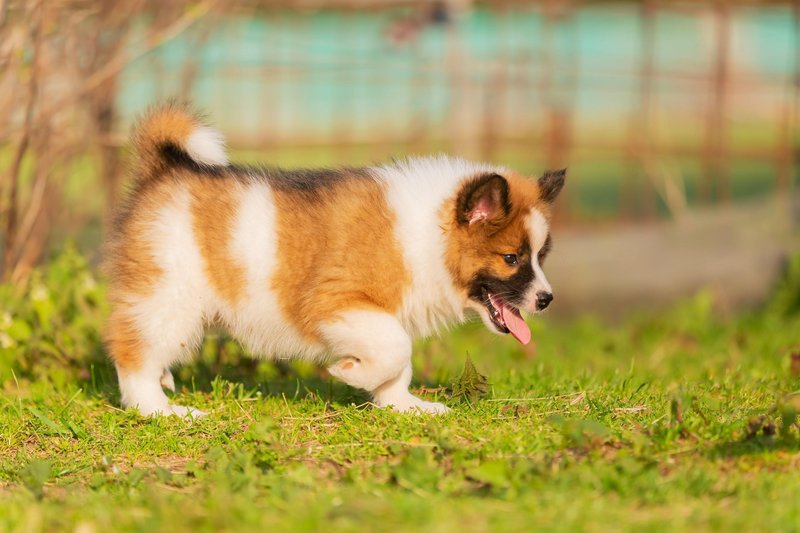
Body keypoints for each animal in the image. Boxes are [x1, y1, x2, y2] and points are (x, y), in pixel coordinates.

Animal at [104, 102, 564, 414]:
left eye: (541, 256)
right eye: (511, 258)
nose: (546, 300)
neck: (430, 233)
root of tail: (162, 172)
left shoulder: (383, 312)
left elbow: (399, 362)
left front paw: (401, 404)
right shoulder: (337, 303)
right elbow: (395, 348)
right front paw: (350, 372)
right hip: (170, 297)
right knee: (132, 352)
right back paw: (159, 409)